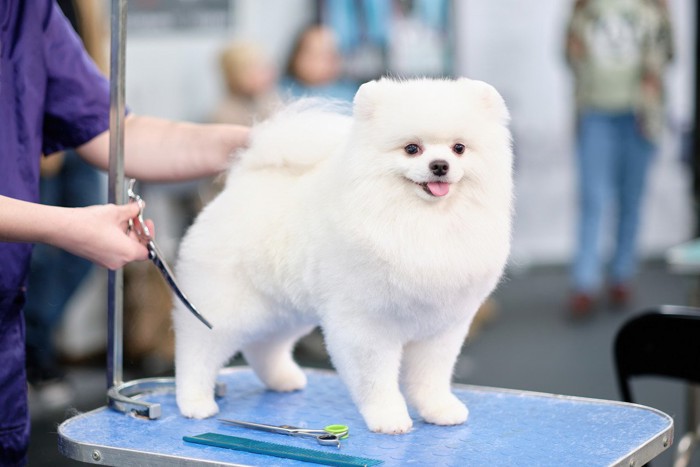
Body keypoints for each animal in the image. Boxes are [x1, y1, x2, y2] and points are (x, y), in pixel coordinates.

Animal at [174, 77, 516, 436]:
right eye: (412, 148)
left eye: (459, 148)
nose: (440, 166)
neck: (419, 220)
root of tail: (240, 184)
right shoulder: (367, 324)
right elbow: (376, 379)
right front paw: (388, 417)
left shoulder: (441, 327)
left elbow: (431, 377)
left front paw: (440, 409)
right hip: (221, 306)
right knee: (197, 352)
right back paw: (195, 402)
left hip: (284, 309)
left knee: (264, 346)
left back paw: (283, 379)